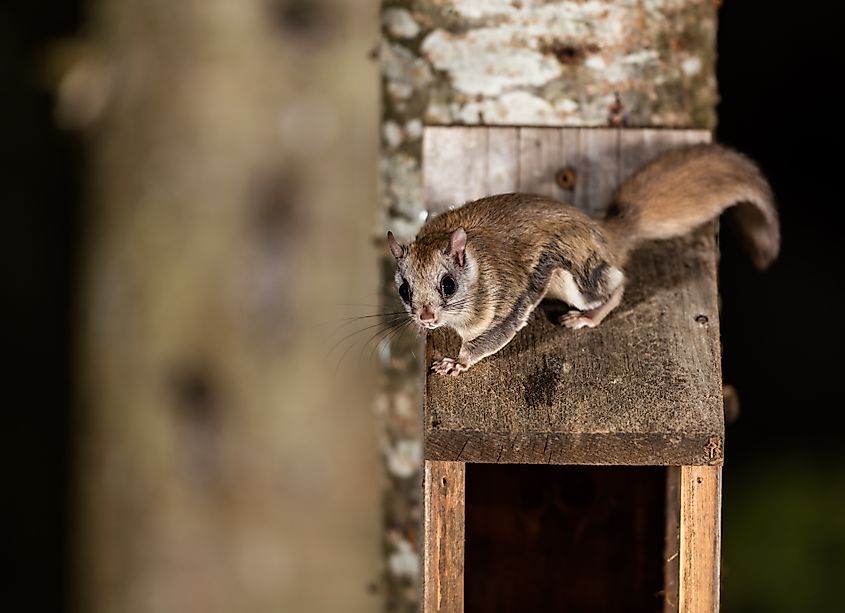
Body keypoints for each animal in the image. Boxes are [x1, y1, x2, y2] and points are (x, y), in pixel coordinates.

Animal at [386, 144, 779, 376]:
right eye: (405, 290)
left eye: (448, 285)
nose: (426, 317)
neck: (478, 270)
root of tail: (605, 233)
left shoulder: (507, 304)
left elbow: (487, 340)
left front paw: (458, 362)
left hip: (579, 277)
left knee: (617, 285)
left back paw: (588, 318)